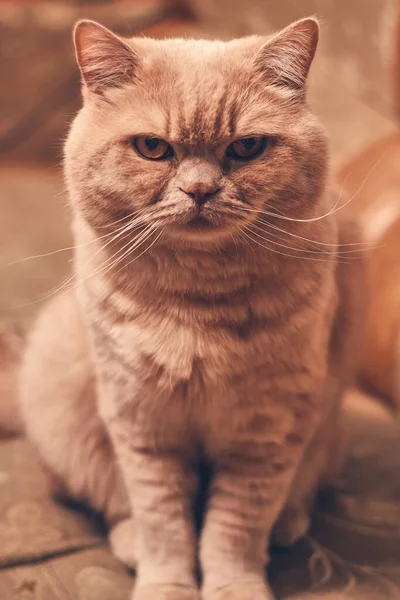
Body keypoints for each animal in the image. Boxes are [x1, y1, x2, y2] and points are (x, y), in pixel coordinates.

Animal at [15, 17, 366, 600]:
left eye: (246, 147)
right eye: (153, 148)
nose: (200, 190)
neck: (199, 303)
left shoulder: (266, 432)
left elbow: (234, 529)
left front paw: (235, 586)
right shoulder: (143, 425)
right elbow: (164, 525)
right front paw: (167, 585)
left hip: (326, 435)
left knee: (299, 492)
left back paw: (288, 524)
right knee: (107, 501)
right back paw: (130, 540)